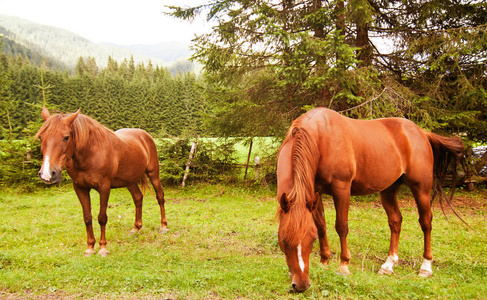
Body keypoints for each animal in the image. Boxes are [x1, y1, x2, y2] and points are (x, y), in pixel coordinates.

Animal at [34, 106, 168, 256]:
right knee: (138, 198)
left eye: (66, 137)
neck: (90, 154)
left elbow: (102, 217)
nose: (47, 174)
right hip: (130, 180)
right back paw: (136, 228)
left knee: (160, 197)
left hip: (153, 173)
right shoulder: (80, 188)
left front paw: (103, 248)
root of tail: (144, 135)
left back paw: (163, 226)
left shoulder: (104, 187)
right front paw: (90, 247)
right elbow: (87, 217)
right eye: (41, 137)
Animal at [278, 107, 466, 290]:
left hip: (421, 188)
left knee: (426, 222)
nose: (301, 285)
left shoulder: (341, 189)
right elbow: (321, 225)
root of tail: (421, 132)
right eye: (284, 241)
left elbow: (341, 227)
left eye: (311, 240)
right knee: (395, 221)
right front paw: (324, 262)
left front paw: (344, 266)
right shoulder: (314, 193)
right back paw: (388, 265)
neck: (320, 138)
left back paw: (426, 267)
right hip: (389, 190)